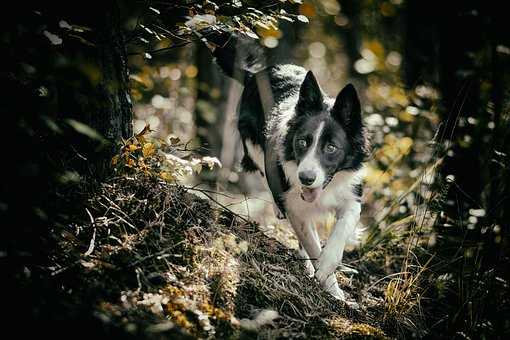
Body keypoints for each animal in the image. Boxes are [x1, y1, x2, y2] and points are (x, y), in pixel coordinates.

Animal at [209, 32, 368, 302]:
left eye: (331, 147)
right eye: (302, 142)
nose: (305, 179)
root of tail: (254, 75)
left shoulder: (351, 196)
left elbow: (340, 232)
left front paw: (328, 271)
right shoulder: (295, 204)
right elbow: (311, 241)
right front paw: (329, 284)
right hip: (255, 150)